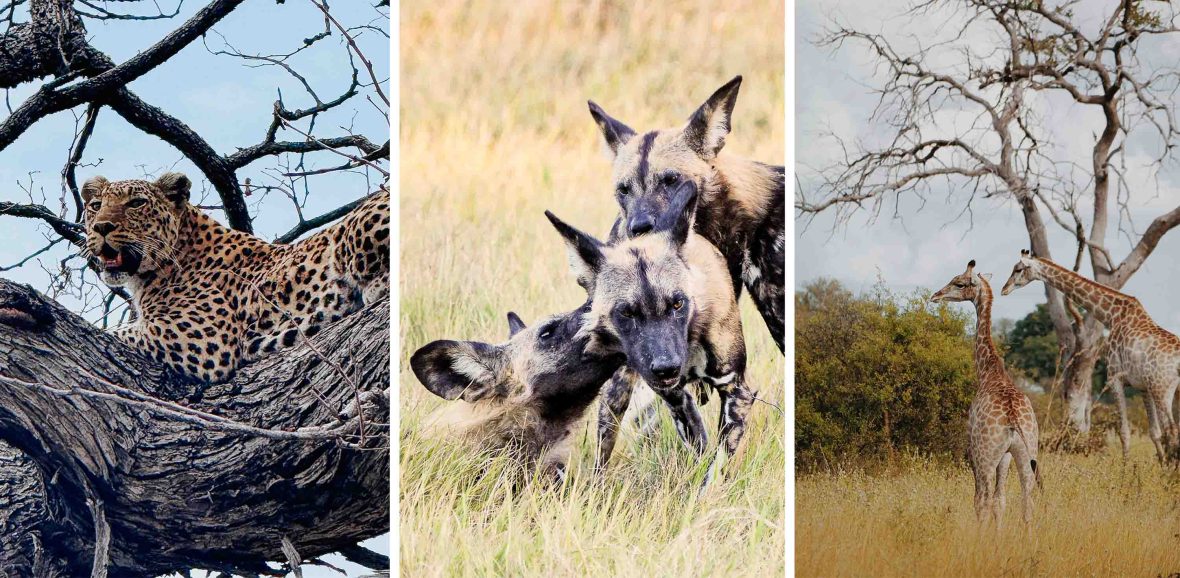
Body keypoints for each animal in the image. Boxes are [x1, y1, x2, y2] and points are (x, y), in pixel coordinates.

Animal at [932, 260, 1041, 525]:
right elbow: (1000, 502)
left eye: (959, 283)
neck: (989, 371)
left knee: (981, 498)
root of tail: (1014, 418)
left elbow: (983, 501)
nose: (935, 296)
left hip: (985, 456)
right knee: (1027, 503)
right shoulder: (1006, 456)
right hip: (1027, 455)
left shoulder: (974, 449)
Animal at [1001, 249, 1180, 462]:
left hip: (1162, 389)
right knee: (1170, 430)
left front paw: (1126, 468)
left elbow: (1124, 431)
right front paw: (1160, 463)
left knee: (1172, 430)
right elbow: (1154, 432)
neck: (1112, 316)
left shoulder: (1114, 378)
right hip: (1165, 389)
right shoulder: (1142, 387)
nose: (1004, 289)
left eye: (1018, 269)